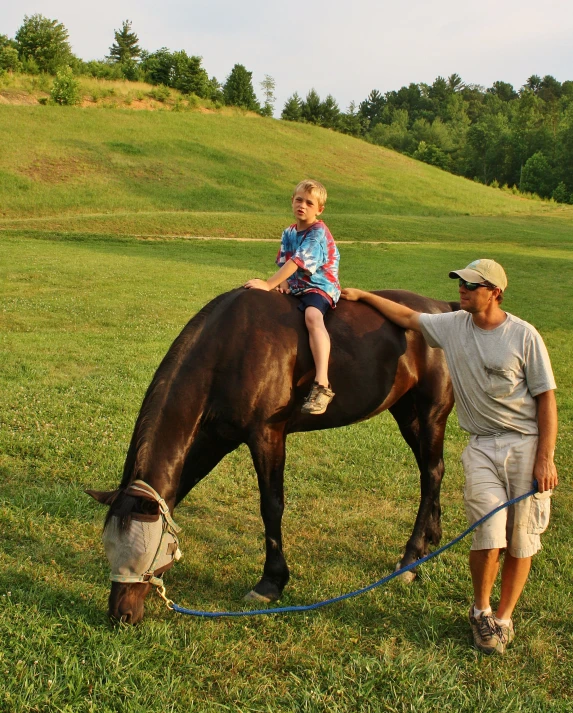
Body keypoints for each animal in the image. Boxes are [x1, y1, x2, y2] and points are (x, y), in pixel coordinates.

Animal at [88, 286, 456, 620]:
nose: (120, 614)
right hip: (406, 411)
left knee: (432, 471)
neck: (231, 346)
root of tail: (441, 307)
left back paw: (411, 559)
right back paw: (430, 538)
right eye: (109, 546)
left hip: (431, 411)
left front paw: (271, 582)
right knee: (431, 471)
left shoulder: (267, 435)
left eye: (147, 550)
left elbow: (271, 506)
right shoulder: (215, 437)